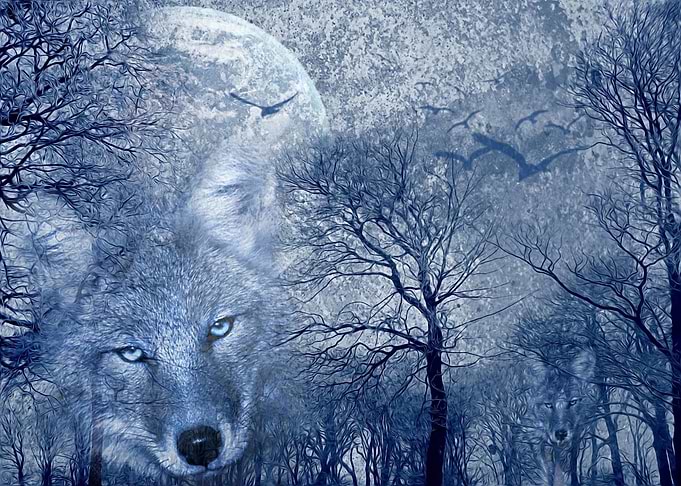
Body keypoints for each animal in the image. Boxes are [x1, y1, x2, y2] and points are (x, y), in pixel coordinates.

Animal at [527, 350, 596, 486]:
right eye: (548, 404)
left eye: (573, 402)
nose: (561, 434)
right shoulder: (535, 442)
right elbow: (544, 473)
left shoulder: (576, 438)